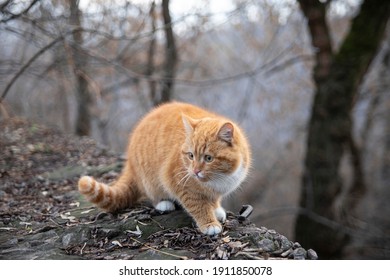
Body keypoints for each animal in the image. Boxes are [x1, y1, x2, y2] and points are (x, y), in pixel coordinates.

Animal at [77, 101, 251, 235]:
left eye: (208, 158)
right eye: (191, 156)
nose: (195, 171)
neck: (219, 177)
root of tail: (130, 163)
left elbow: (213, 200)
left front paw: (215, 209)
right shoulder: (178, 182)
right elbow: (198, 205)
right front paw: (209, 223)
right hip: (150, 179)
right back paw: (164, 203)